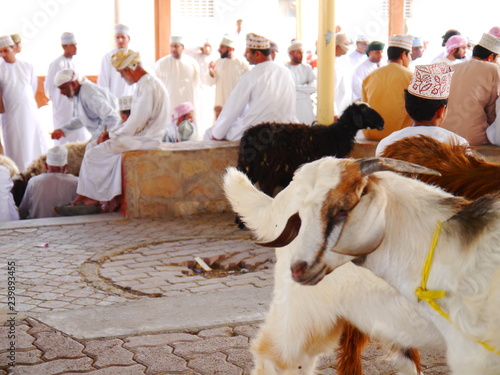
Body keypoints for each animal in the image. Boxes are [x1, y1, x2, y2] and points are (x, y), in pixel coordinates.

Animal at [237, 103, 382, 197]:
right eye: (364, 110)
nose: (382, 122)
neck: (337, 133)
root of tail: (248, 137)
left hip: (251, 169)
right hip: (269, 171)